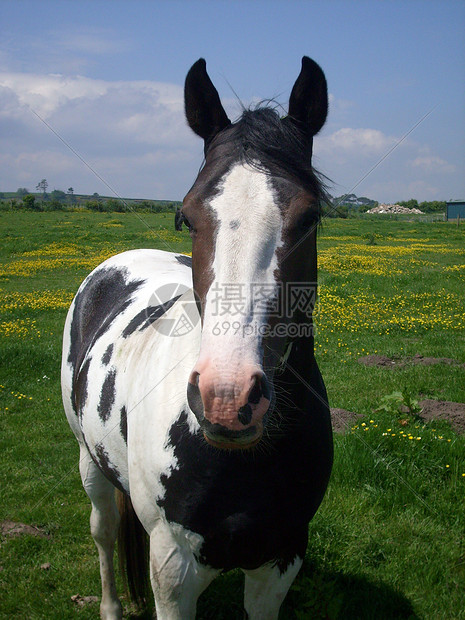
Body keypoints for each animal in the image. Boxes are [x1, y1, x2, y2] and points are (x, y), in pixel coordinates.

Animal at [61, 55, 332, 616]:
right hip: (89, 463)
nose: (227, 398)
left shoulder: (280, 562)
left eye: (310, 216)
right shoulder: (173, 570)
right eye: (186, 215)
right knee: (103, 532)